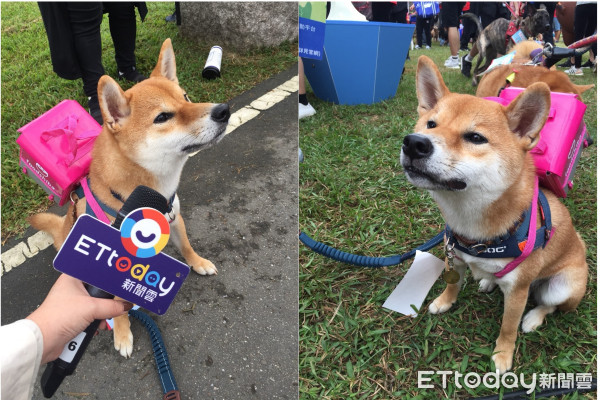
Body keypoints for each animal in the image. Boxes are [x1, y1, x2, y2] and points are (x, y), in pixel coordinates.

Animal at [30, 39, 232, 358]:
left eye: (186, 98)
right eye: (163, 117)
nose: (224, 110)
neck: (152, 190)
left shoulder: (174, 217)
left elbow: (186, 246)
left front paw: (198, 263)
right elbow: (115, 305)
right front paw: (122, 332)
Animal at [400, 57, 588, 376]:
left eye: (475, 138)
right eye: (431, 124)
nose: (414, 143)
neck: (471, 223)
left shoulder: (517, 290)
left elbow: (508, 327)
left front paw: (502, 356)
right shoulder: (455, 257)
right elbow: (453, 284)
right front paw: (445, 301)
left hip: (562, 287)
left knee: (549, 305)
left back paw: (533, 318)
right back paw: (488, 281)